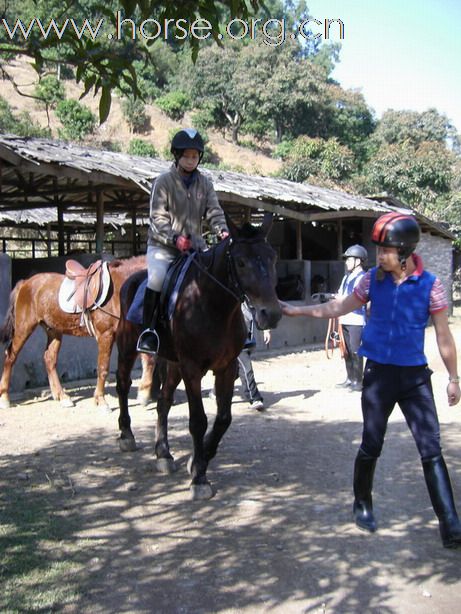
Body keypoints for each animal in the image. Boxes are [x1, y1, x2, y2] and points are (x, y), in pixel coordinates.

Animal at [0, 258, 155, 412]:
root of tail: (25, 283)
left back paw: (62, 397)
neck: (118, 289)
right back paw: (5, 398)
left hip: (54, 330)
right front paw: (101, 401)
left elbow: (149, 361)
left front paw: (143, 395)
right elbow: (103, 368)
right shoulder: (106, 335)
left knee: (49, 359)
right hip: (24, 327)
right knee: (11, 356)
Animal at [115, 214, 280, 502]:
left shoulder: (226, 368)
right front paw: (199, 477)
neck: (211, 303)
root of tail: (130, 279)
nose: (270, 314)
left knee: (164, 402)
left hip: (172, 363)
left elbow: (223, 419)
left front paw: (198, 460)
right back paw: (126, 434)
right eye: (241, 262)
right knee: (123, 385)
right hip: (127, 348)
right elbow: (198, 421)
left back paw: (163, 453)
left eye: (273, 258)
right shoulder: (192, 370)